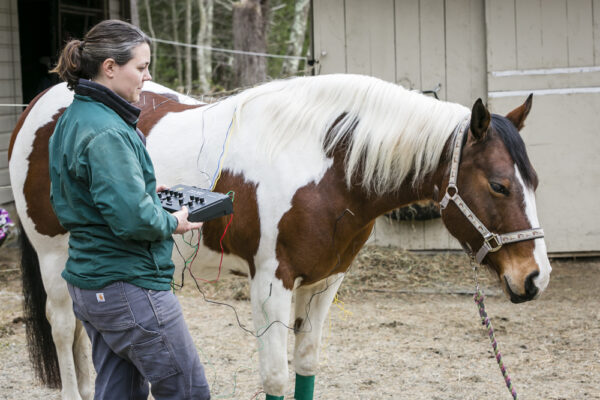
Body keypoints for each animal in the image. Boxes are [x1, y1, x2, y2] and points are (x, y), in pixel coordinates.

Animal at [8, 73, 552, 398]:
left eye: (533, 180)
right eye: (499, 185)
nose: (534, 279)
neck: (327, 167)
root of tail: (43, 103)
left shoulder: (325, 283)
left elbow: (305, 366)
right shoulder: (271, 286)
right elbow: (274, 375)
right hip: (53, 259)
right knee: (64, 329)